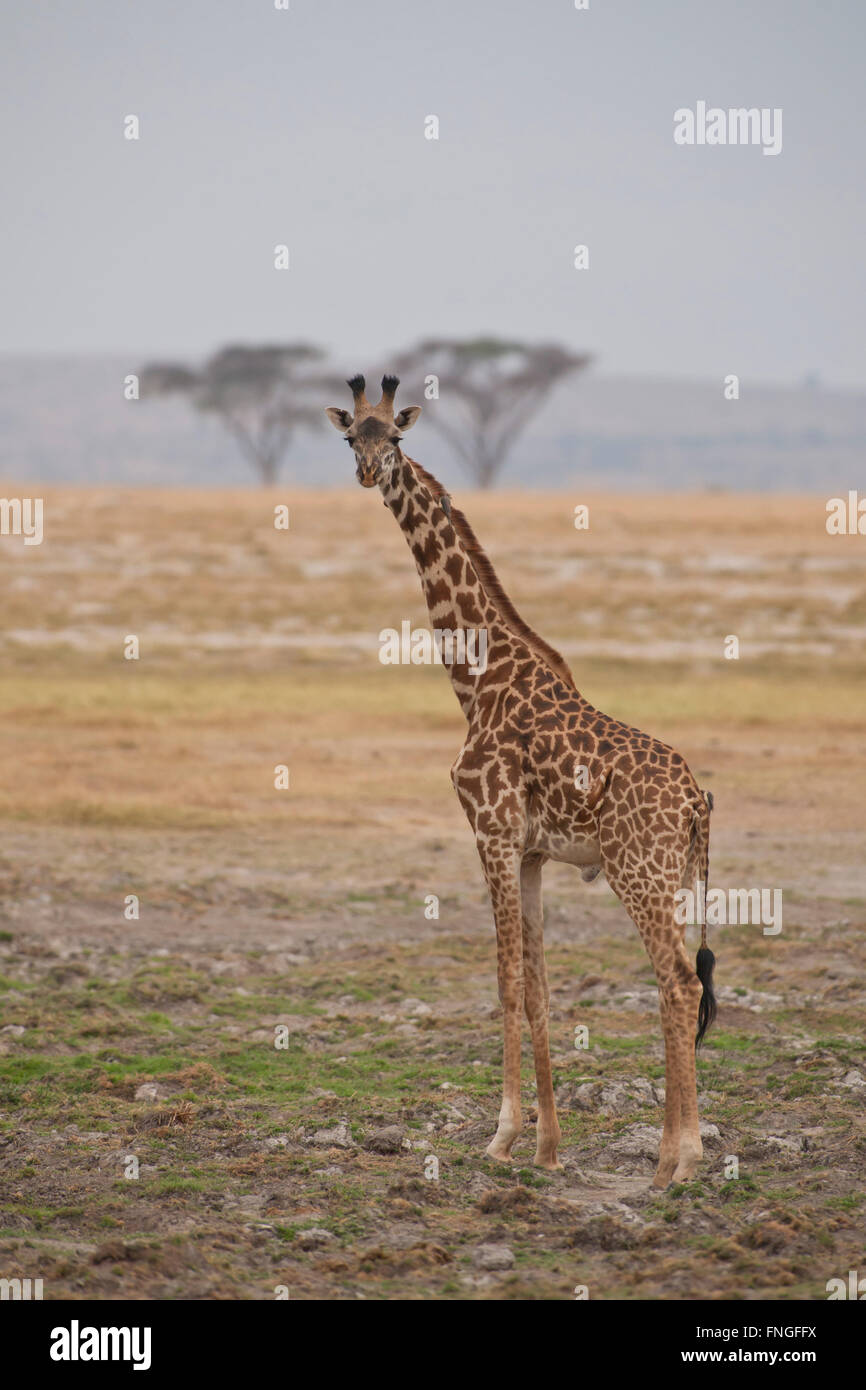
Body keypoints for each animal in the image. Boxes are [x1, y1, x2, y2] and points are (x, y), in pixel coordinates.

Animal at [325, 372, 717, 1184]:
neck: (476, 678)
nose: (372, 473)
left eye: (396, 437)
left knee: (678, 980)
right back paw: (669, 1153)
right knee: (678, 982)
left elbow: (504, 981)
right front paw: (546, 1148)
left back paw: (681, 1159)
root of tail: (697, 801)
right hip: (670, 876)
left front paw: (500, 1137)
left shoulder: (492, 832)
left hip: (639, 871)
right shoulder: (533, 852)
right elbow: (538, 989)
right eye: (352, 437)